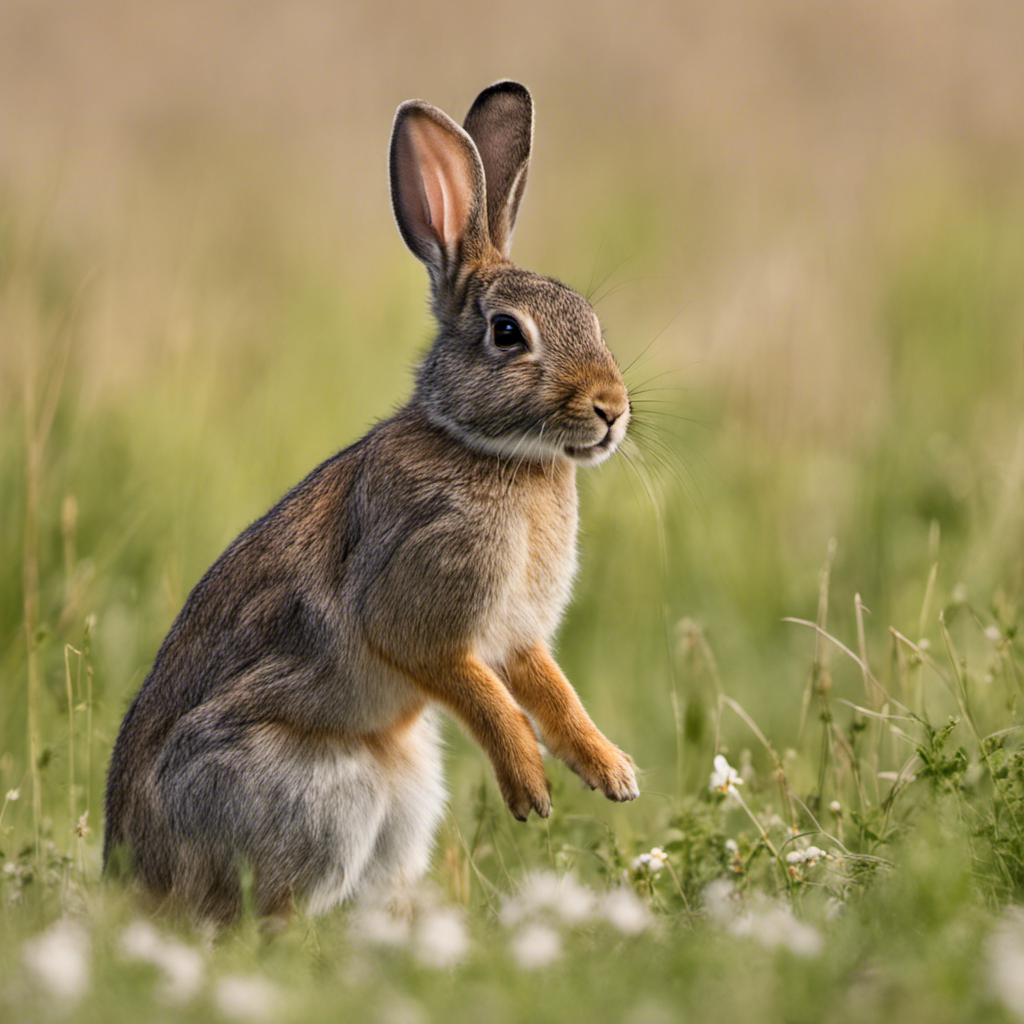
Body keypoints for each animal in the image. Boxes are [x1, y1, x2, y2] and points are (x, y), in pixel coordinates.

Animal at [99, 79, 634, 925]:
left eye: (592, 318)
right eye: (507, 334)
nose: (612, 409)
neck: (492, 452)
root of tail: (135, 873)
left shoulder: (519, 636)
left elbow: (549, 690)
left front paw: (611, 772)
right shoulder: (417, 607)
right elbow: (474, 687)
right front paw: (530, 788)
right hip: (325, 793)